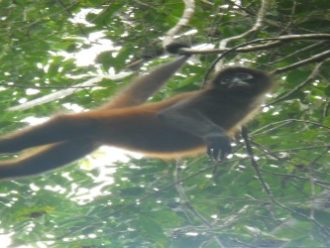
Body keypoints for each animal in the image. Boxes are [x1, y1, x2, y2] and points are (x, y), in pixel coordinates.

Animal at [0, 47, 274, 179]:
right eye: (227, 80)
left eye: (244, 76)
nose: (235, 82)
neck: (234, 101)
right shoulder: (209, 96)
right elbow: (173, 114)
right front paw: (216, 136)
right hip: (87, 123)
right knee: (59, 126)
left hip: (86, 140)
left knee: (32, 165)